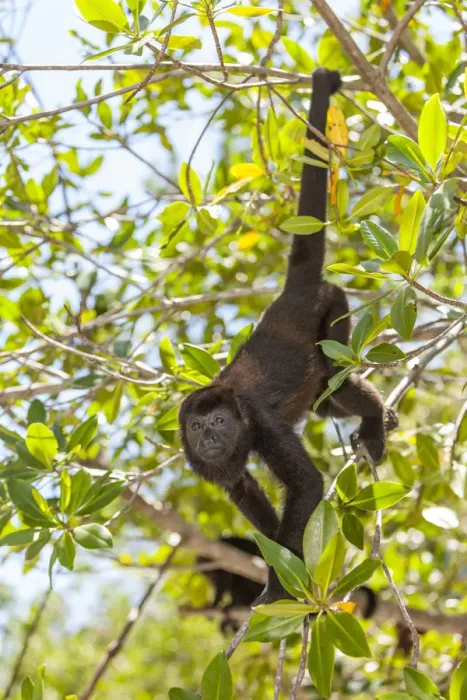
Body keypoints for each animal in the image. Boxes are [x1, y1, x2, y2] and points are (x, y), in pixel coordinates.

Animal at [180, 67, 397, 604]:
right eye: (196, 427)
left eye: (219, 423)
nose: (209, 438)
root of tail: (294, 288)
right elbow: (245, 491)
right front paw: (277, 561)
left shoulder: (262, 425)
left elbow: (307, 487)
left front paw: (279, 582)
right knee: (324, 404)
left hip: (334, 306)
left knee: (338, 380)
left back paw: (375, 421)